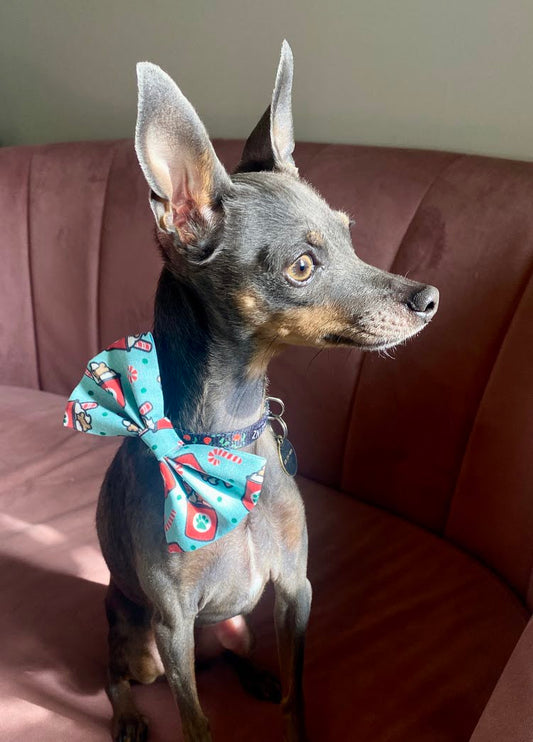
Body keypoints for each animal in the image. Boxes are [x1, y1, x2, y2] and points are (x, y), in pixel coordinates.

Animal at [95, 40, 436, 742]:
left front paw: (288, 707)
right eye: (302, 266)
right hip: (142, 641)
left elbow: (297, 694)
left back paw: (253, 674)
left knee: (230, 655)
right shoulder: (172, 628)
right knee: (116, 674)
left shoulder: (295, 593)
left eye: (350, 234)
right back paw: (129, 717)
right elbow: (196, 720)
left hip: (236, 626)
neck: (226, 439)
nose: (429, 298)